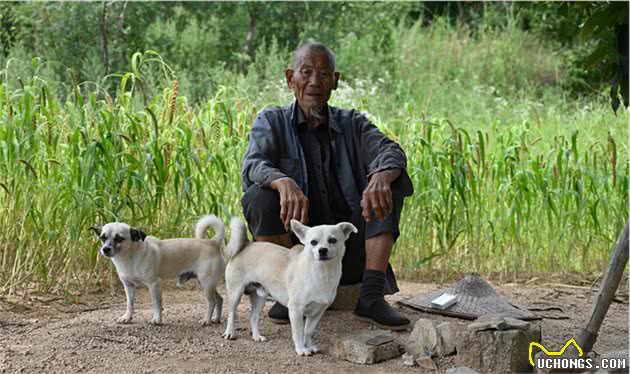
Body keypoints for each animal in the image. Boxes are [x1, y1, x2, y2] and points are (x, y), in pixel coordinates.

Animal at [89, 215, 227, 326]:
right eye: (103, 238)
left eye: (119, 239)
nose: (105, 249)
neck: (130, 256)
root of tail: (213, 243)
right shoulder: (129, 286)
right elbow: (130, 304)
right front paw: (127, 317)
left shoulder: (154, 284)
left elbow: (156, 304)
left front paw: (156, 319)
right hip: (205, 284)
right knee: (220, 299)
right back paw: (216, 319)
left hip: (206, 284)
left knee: (212, 302)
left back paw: (206, 320)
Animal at [223, 218, 358, 356]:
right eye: (313, 242)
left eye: (333, 240)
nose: (322, 250)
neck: (323, 273)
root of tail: (246, 244)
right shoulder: (296, 310)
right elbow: (298, 332)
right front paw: (301, 349)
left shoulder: (317, 313)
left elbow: (308, 331)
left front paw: (309, 346)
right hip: (235, 294)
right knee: (232, 313)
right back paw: (229, 333)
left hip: (259, 297)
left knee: (253, 317)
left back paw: (256, 336)